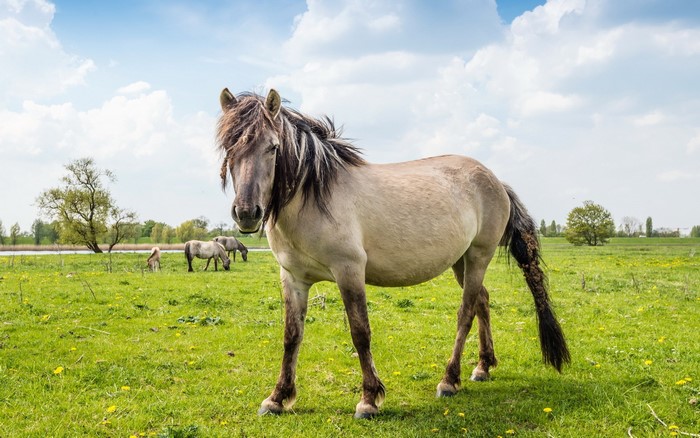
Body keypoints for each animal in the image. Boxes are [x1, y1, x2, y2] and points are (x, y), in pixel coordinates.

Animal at [216, 88, 570, 419]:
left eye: (273, 147)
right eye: (229, 148)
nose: (247, 213)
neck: (313, 198)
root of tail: (495, 181)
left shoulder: (349, 271)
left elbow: (360, 332)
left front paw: (369, 399)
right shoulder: (293, 278)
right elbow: (292, 335)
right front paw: (277, 398)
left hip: (478, 257)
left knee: (467, 312)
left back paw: (449, 380)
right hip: (461, 261)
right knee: (482, 301)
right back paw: (483, 367)